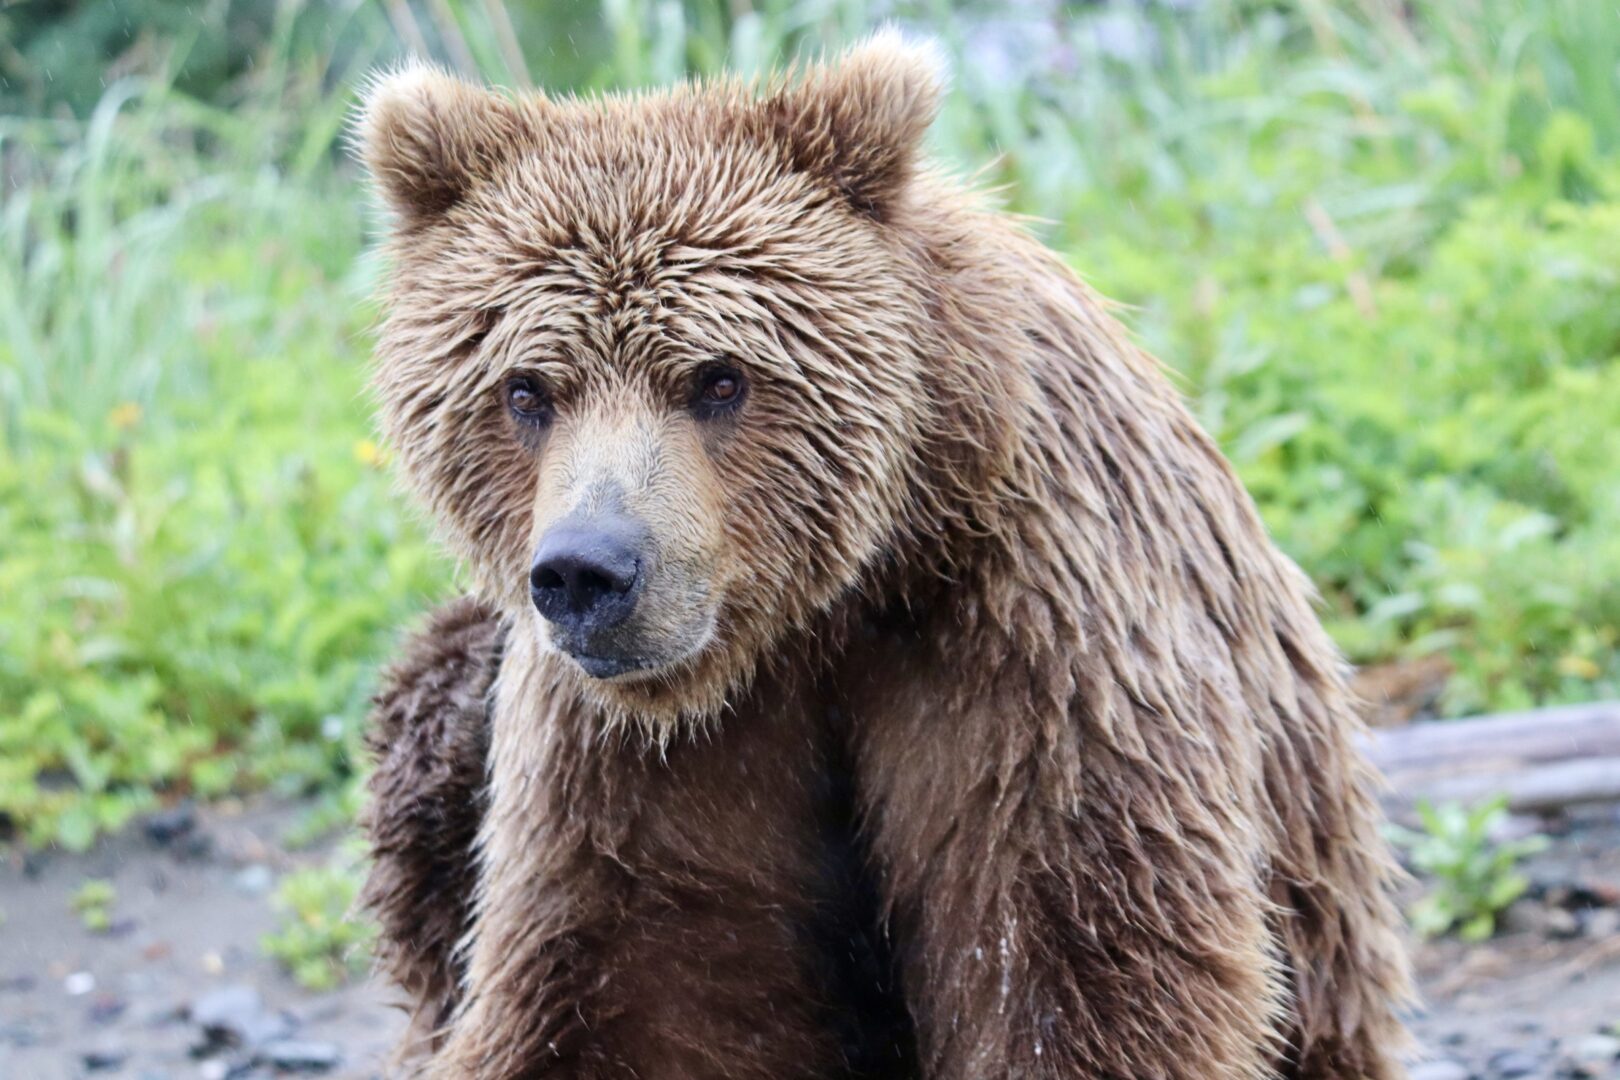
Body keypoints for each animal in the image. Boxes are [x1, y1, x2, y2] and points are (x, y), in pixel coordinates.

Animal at [354, 33, 1412, 1080]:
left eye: (719, 378)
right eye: (526, 391)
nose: (589, 572)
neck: (828, 606)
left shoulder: (1033, 648)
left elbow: (1073, 960)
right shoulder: (630, 763)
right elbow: (625, 987)